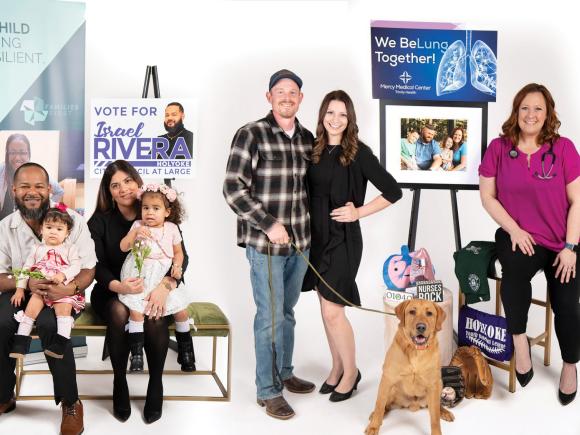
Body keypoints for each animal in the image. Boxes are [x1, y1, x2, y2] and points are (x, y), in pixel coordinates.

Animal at [364, 300, 456, 435]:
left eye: (429, 313)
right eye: (412, 312)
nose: (421, 327)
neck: (416, 351)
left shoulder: (433, 384)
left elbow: (434, 418)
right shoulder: (387, 379)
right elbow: (379, 405)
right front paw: (373, 427)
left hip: (439, 383)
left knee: (436, 406)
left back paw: (444, 411)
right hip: (390, 389)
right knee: (385, 405)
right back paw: (375, 414)